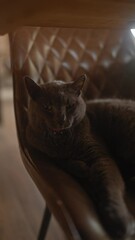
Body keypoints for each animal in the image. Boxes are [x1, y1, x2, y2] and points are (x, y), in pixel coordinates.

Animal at [24, 74, 135, 238]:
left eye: (70, 106)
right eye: (48, 107)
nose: (61, 119)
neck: (62, 140)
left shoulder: (101, 155)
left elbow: (110, 184)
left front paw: (118, 220)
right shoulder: (40, 146)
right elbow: (60, 160)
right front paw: (82, 169)